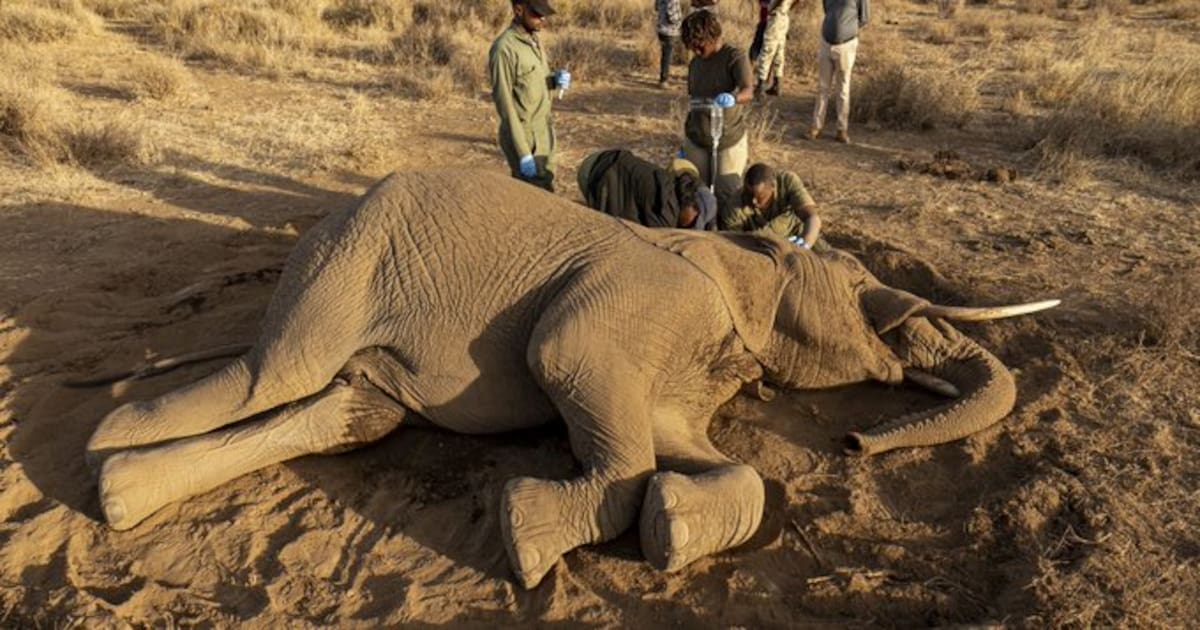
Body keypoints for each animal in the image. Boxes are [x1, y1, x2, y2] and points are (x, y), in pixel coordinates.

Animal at [85, 170, 1057, 589]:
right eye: (861, 290)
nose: (856, 439)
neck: (734, 253)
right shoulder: (645, 302)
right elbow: (565, 359)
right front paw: (526, 538)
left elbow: (700, 455)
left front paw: (671, 527)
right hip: (346, 260)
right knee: (269, 375)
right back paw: (107, 435)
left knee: (344, 414)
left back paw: (120, 495)